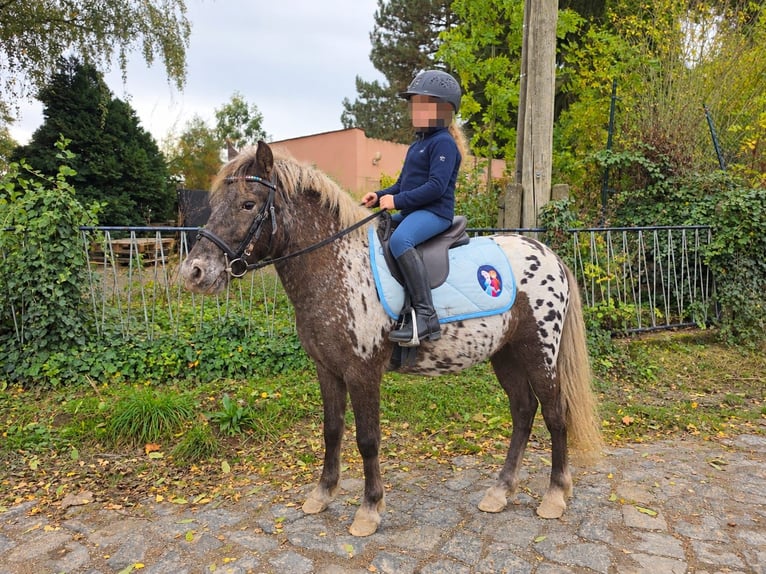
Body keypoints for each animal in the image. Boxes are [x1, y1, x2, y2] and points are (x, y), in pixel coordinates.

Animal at [180, 141, 602, 537]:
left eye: (248, 204)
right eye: (216, 203)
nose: (194, 272)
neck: (336, 266)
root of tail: (549, 254)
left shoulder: (362, 372)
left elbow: (367, 439)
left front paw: (368, 511)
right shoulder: (327, 369)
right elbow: (332, 430)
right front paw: (322, 494)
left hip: (539, 353)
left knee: (554, 414)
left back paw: (554, 496)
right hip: (506, 355)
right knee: (522, 412)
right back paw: (500, 492)